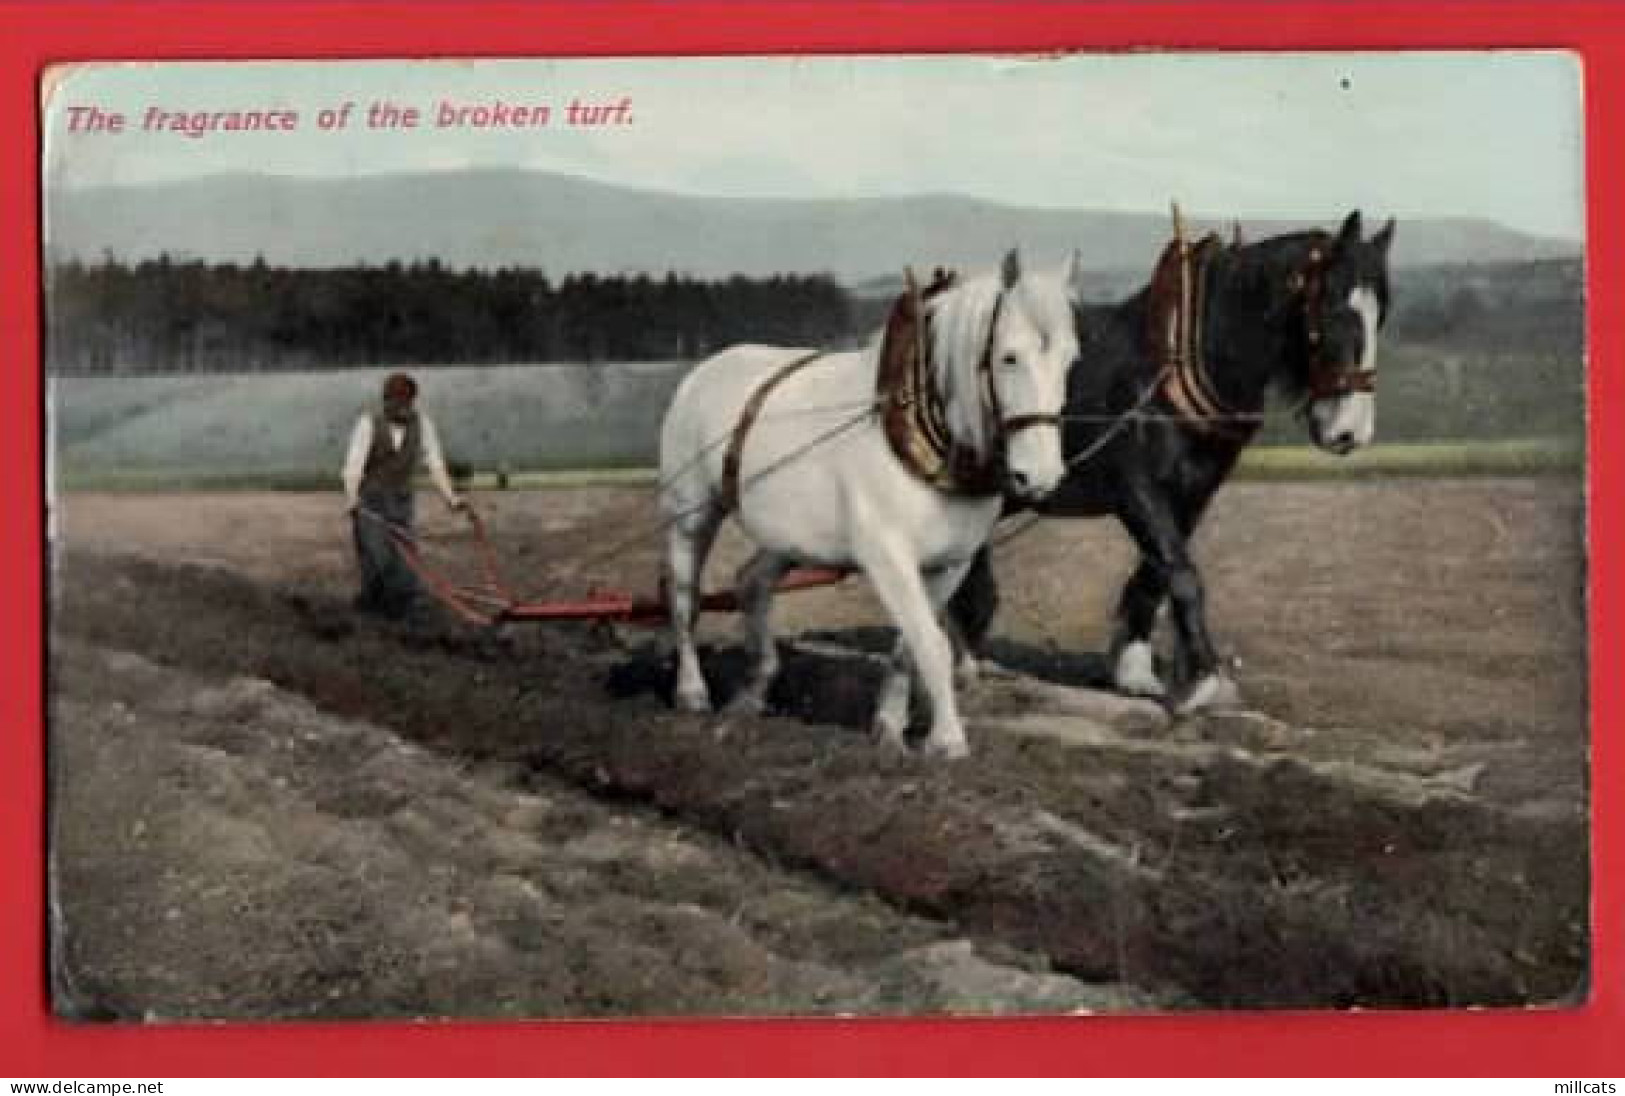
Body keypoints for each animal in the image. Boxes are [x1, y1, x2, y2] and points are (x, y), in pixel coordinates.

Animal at [653, 250, 1085, 754]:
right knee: (685, 600)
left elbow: (911, 645)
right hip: (690, 515)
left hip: (790, 537)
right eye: (1009, 357)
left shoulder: (949, 564)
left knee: (751, 583)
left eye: (1070, 359)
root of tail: (701, 372)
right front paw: (948, 740)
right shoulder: (887, 555)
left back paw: (753, 692)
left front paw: (890, 726)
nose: (1041, 476)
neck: (922, 434)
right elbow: (932, 644)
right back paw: (692, 692)